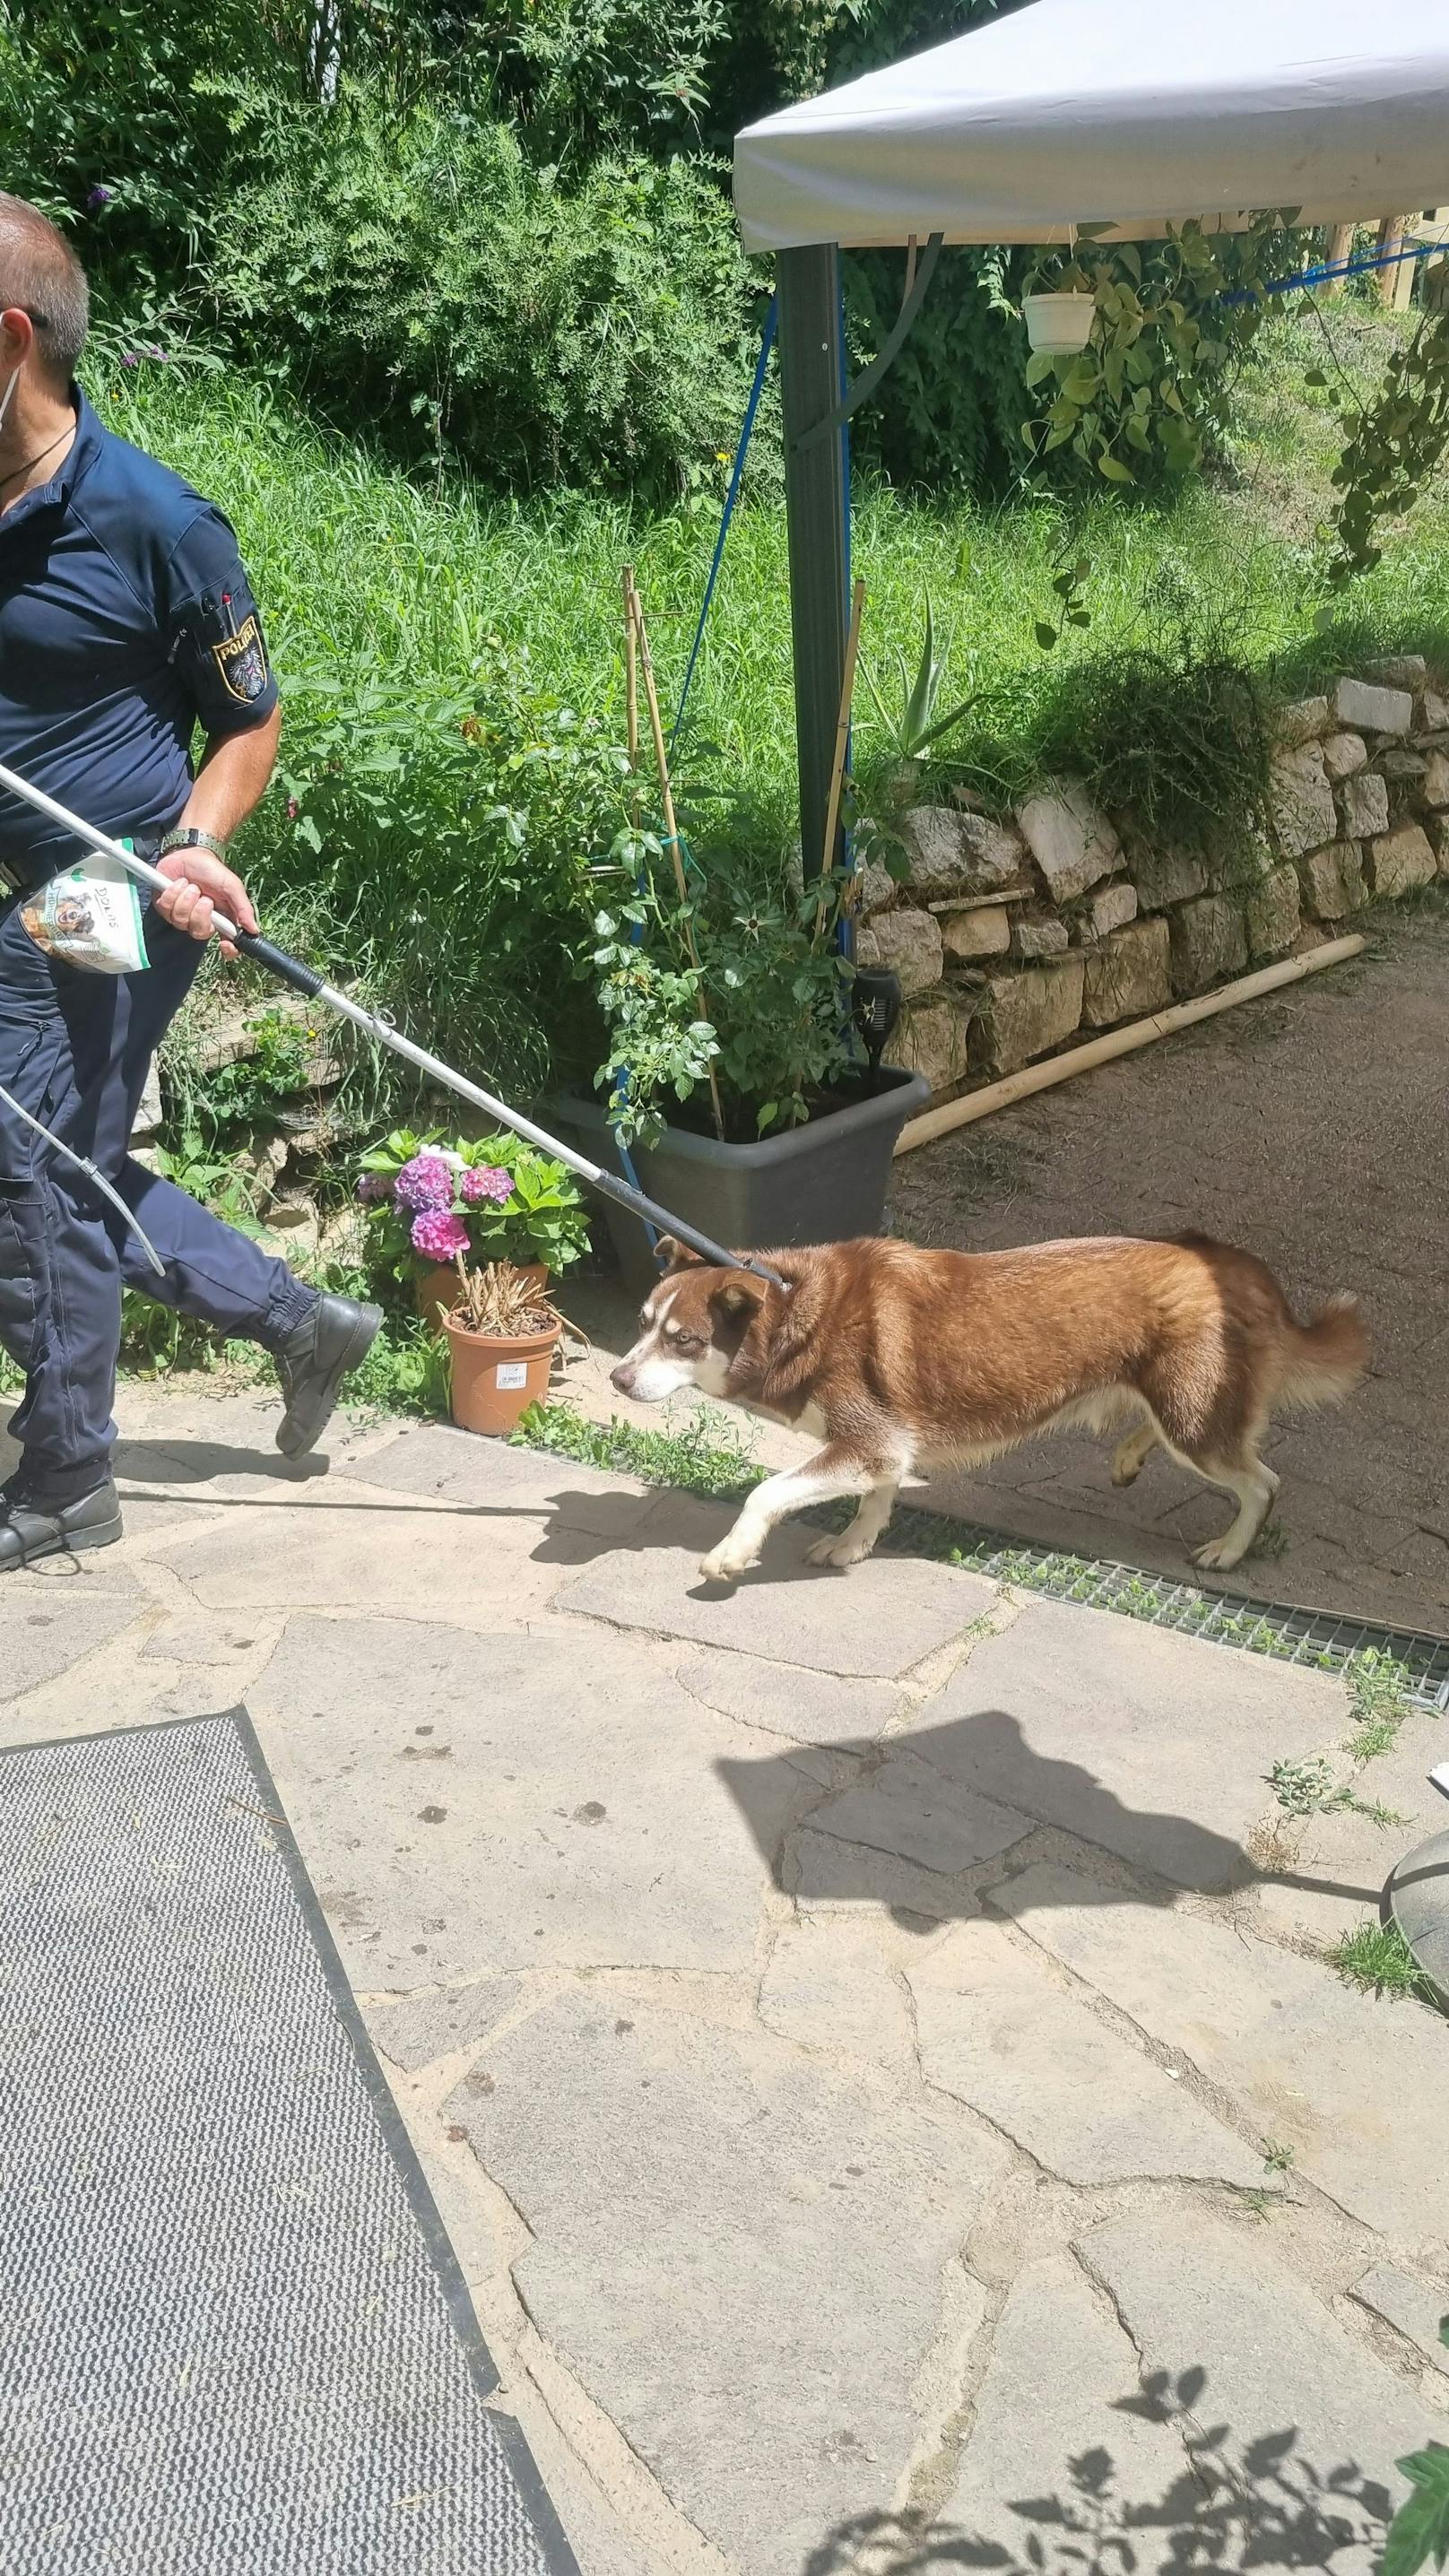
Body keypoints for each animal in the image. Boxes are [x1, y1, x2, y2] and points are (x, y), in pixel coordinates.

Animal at [608, 1231, 1361, 1576]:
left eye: (682, 1339)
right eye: (642, 1322)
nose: (616, 1377)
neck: (799, 1308)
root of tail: (1238, 1266)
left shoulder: (869, 1439)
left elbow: (766, 1491)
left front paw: (732, 1553)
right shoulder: (888, 1446)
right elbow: (877, 1497)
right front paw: (854, 1542)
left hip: (1193, 1419)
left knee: (1260, 1481)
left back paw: (1230, 1548)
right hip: (1178, 1404)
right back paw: (1127, 1455)